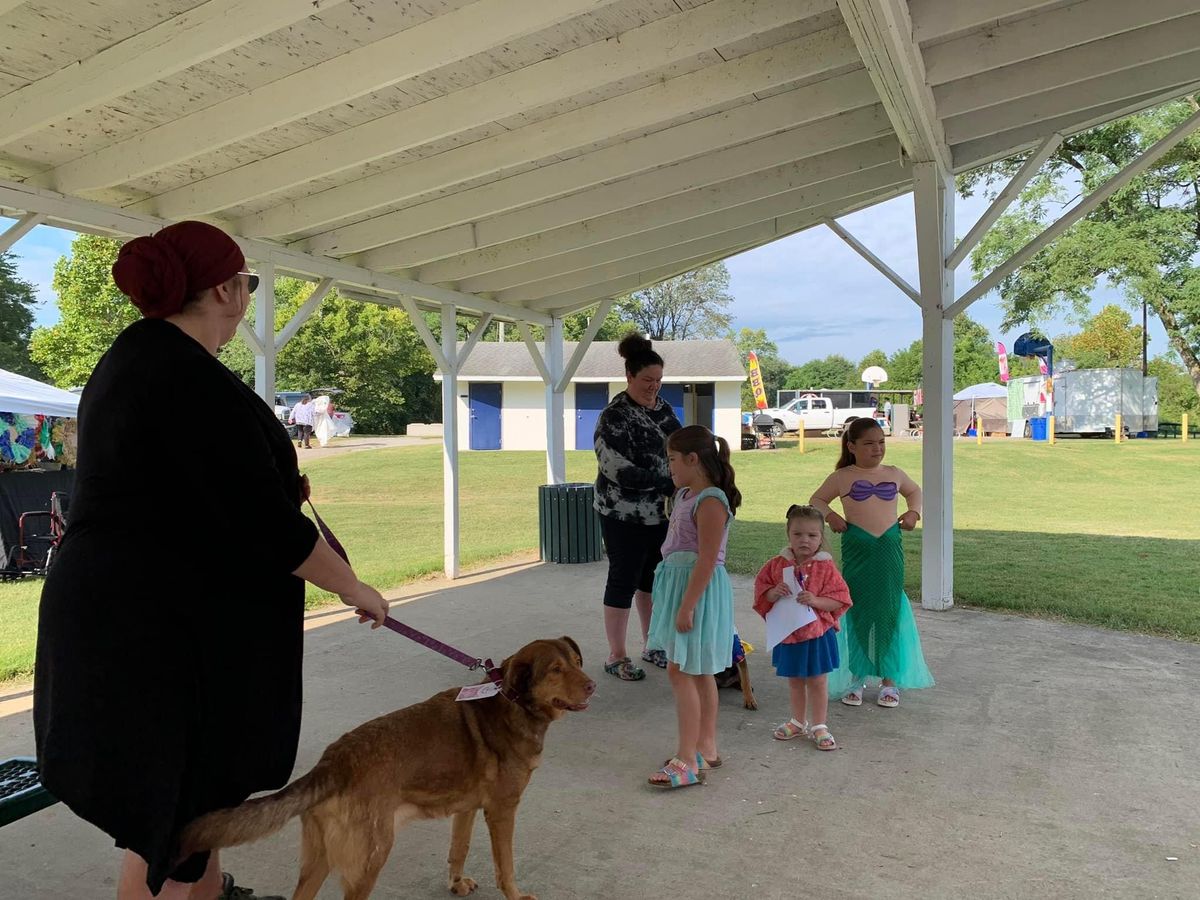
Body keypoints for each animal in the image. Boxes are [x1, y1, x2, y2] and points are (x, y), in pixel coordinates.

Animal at [181, 638, 595, 897]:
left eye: (576, 662)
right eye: (555, 670)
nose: (592, 685)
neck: (512, 700)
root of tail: (334, 762)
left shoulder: (467, 809)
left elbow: (458, 848)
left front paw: (455, 882)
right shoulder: (502, 812)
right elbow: (505, 867)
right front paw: (517, 894)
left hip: (319, 860)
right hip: (370, 858)